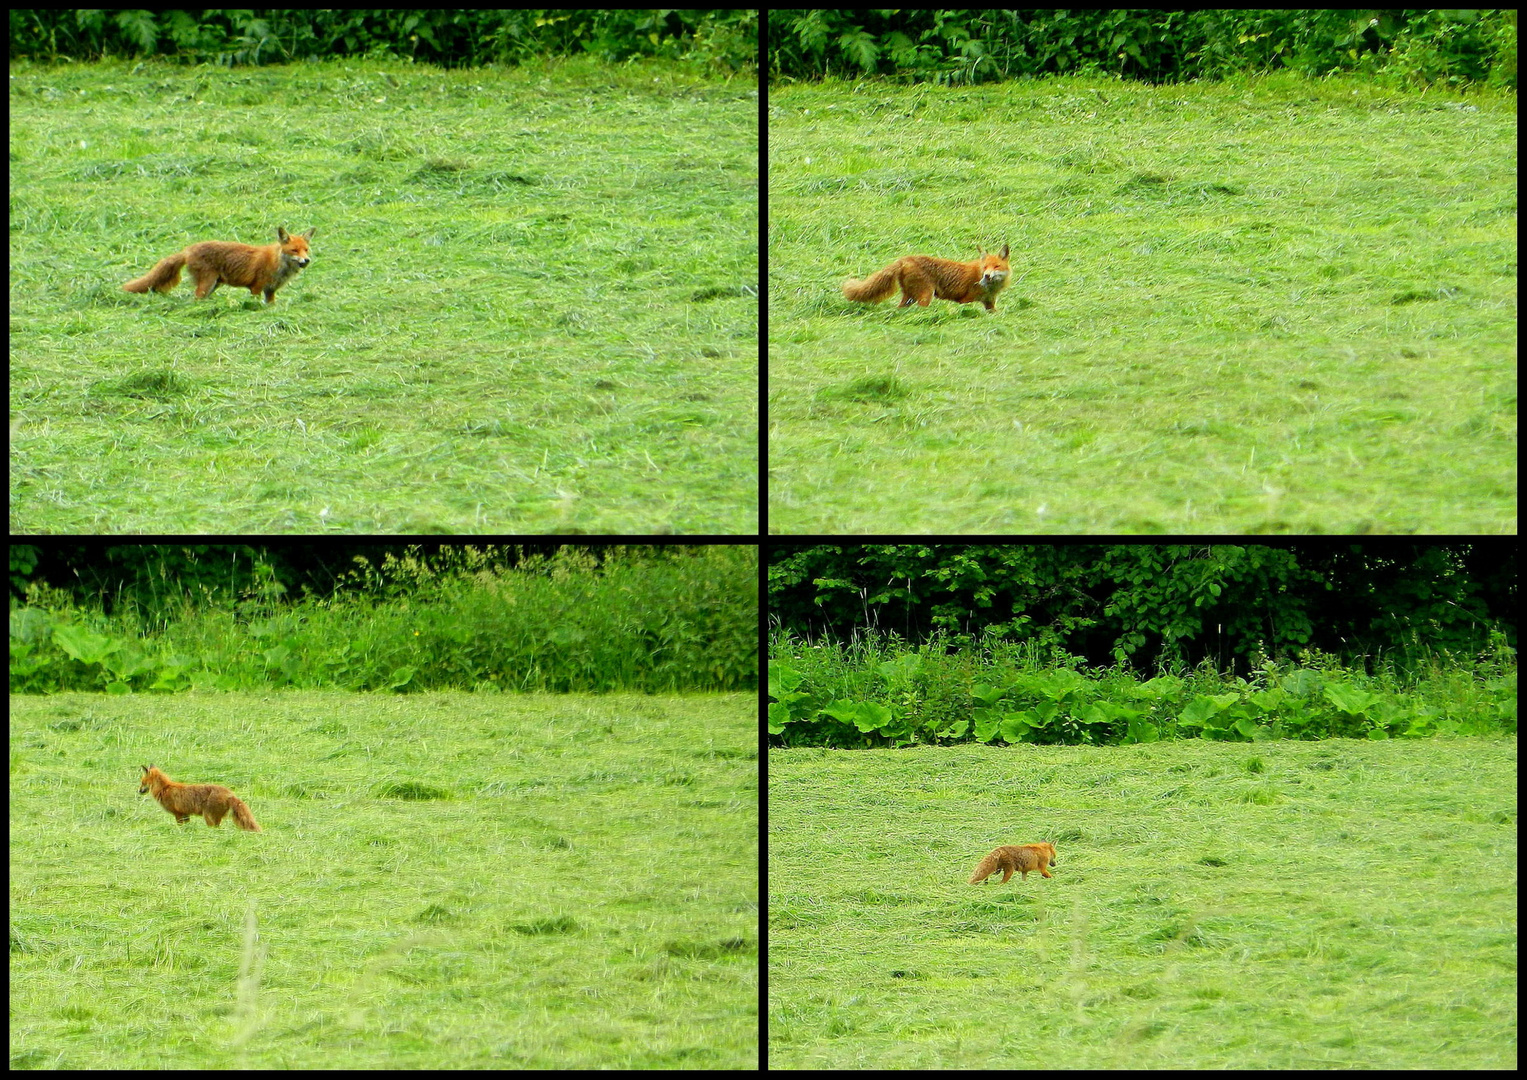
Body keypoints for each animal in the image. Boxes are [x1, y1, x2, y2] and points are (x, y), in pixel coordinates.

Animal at [124, 227, 316, 307]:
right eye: (294, 250)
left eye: (306, 249)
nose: (306, 260)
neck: (277, 263)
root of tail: (187, 250)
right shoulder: (256, 287)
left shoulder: (270, 291)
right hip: (207, 284)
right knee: (195, 299)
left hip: (213, 285)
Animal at [842, 242, 1007, 310]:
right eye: (985, 267)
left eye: (996, 266)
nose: (986, 276)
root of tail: (905, 259)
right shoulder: (965, 300)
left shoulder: (989, 304)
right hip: (925, 295)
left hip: (910, 297)